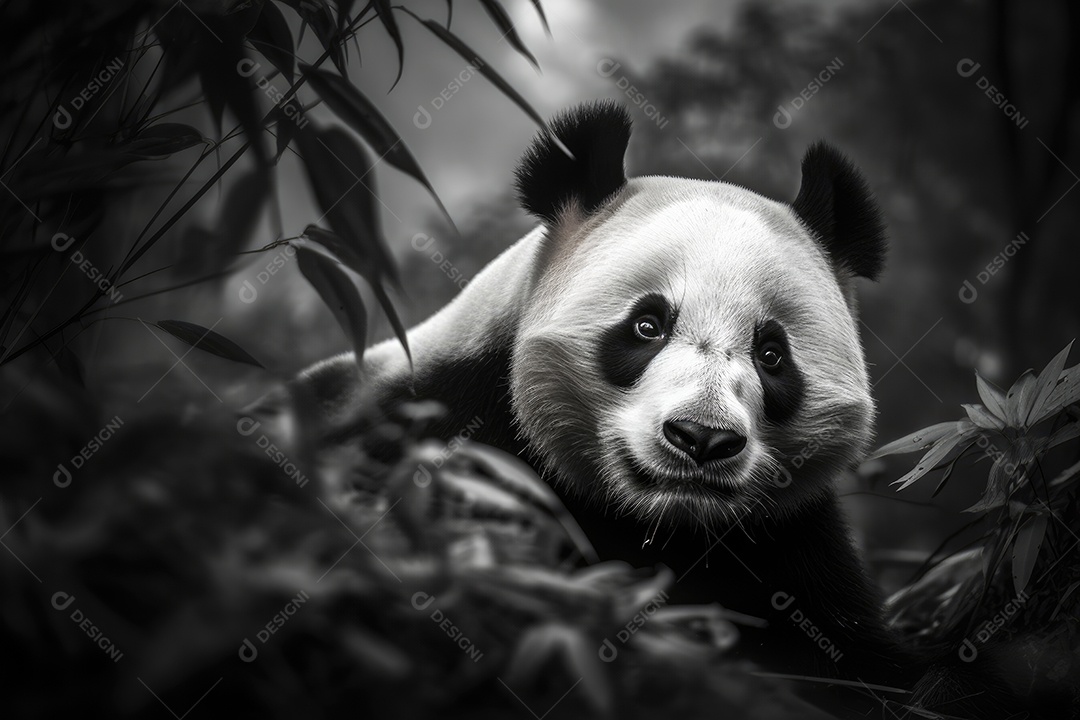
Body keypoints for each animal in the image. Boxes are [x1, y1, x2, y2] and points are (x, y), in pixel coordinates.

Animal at [294, 101, 916, 701]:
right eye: (647, 326)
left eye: (772, 354)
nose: (701, 437)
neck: (657, 523)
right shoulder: (440, 441)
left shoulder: (787, 544)